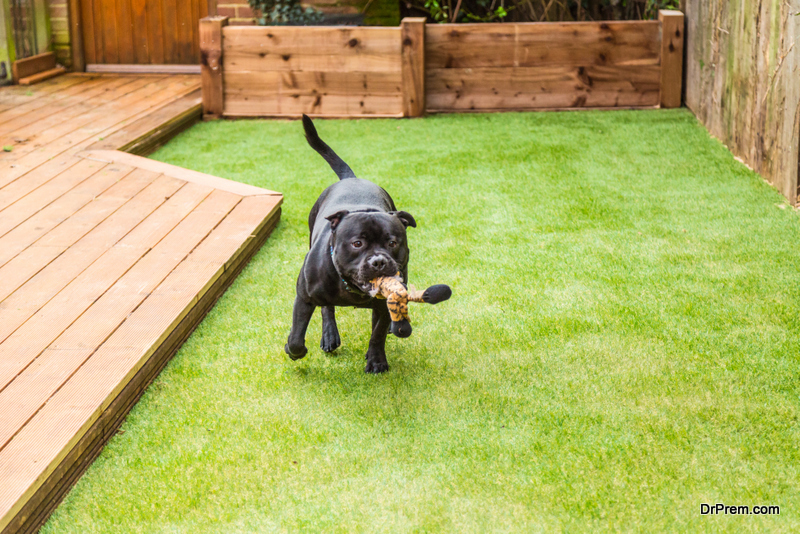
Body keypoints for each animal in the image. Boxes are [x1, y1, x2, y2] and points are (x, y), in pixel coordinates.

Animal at [286, 114, 412, 372]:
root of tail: (351, 178)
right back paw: (329, 335)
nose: (379, 262)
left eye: (393, 242)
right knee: (327, 309)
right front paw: (294, 351)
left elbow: (378, 333)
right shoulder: (303, 297)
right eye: (357, 243)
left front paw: (376, 359)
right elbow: (296, 336)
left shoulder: (383, 303)